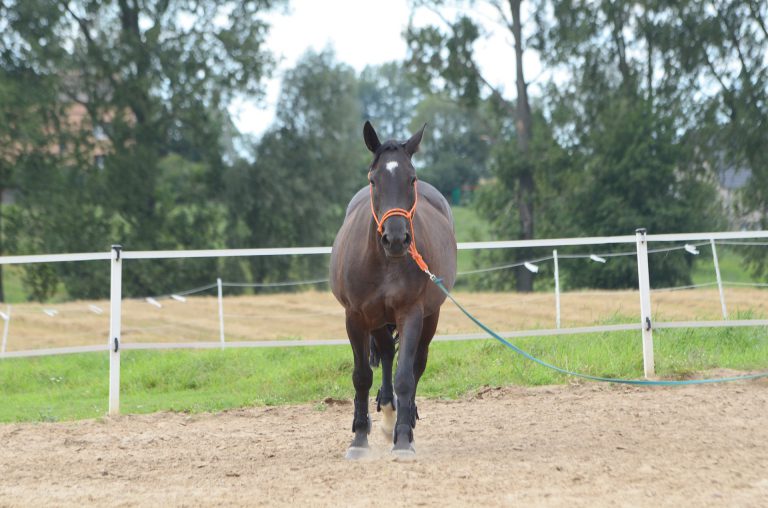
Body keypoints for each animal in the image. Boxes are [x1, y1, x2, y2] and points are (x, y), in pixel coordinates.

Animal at [329, 121, 457, 458]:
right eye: (374, 180)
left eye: (411, 178)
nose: (396, 238)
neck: (385, 261)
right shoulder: (356, 316)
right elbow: (362, 376)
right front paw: (359, 438)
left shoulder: (410, 313)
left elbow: (405, 377)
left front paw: (402, 439)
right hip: (376, 318)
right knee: (386, 352)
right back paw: (385, 413)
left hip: (429, 317)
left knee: (416, 364)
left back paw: (402, 420)